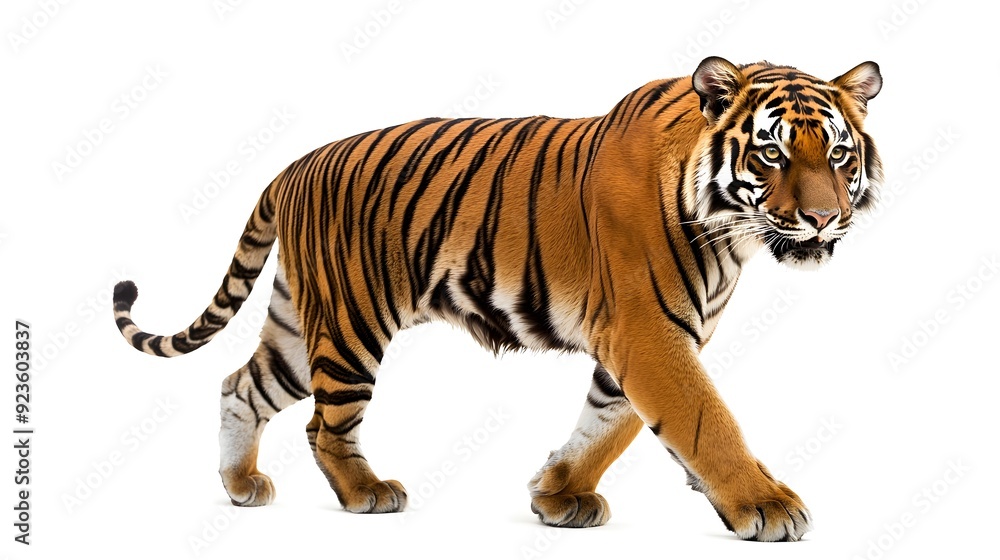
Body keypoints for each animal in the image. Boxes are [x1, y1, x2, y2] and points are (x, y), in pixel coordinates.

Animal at [112, 56, 882, 542]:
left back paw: (240, 483)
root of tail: (295, 165)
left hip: (302, 330)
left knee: (240, 385)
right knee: (322, 428)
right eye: (772, 154)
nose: (822, 219)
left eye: (838, 155)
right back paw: (366, 494)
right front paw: (767, 506)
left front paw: (558, 493)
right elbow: (703, 420)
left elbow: (609, 422)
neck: (728, 233)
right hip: (351, 324)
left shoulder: (650, 337)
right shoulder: (647, 332)